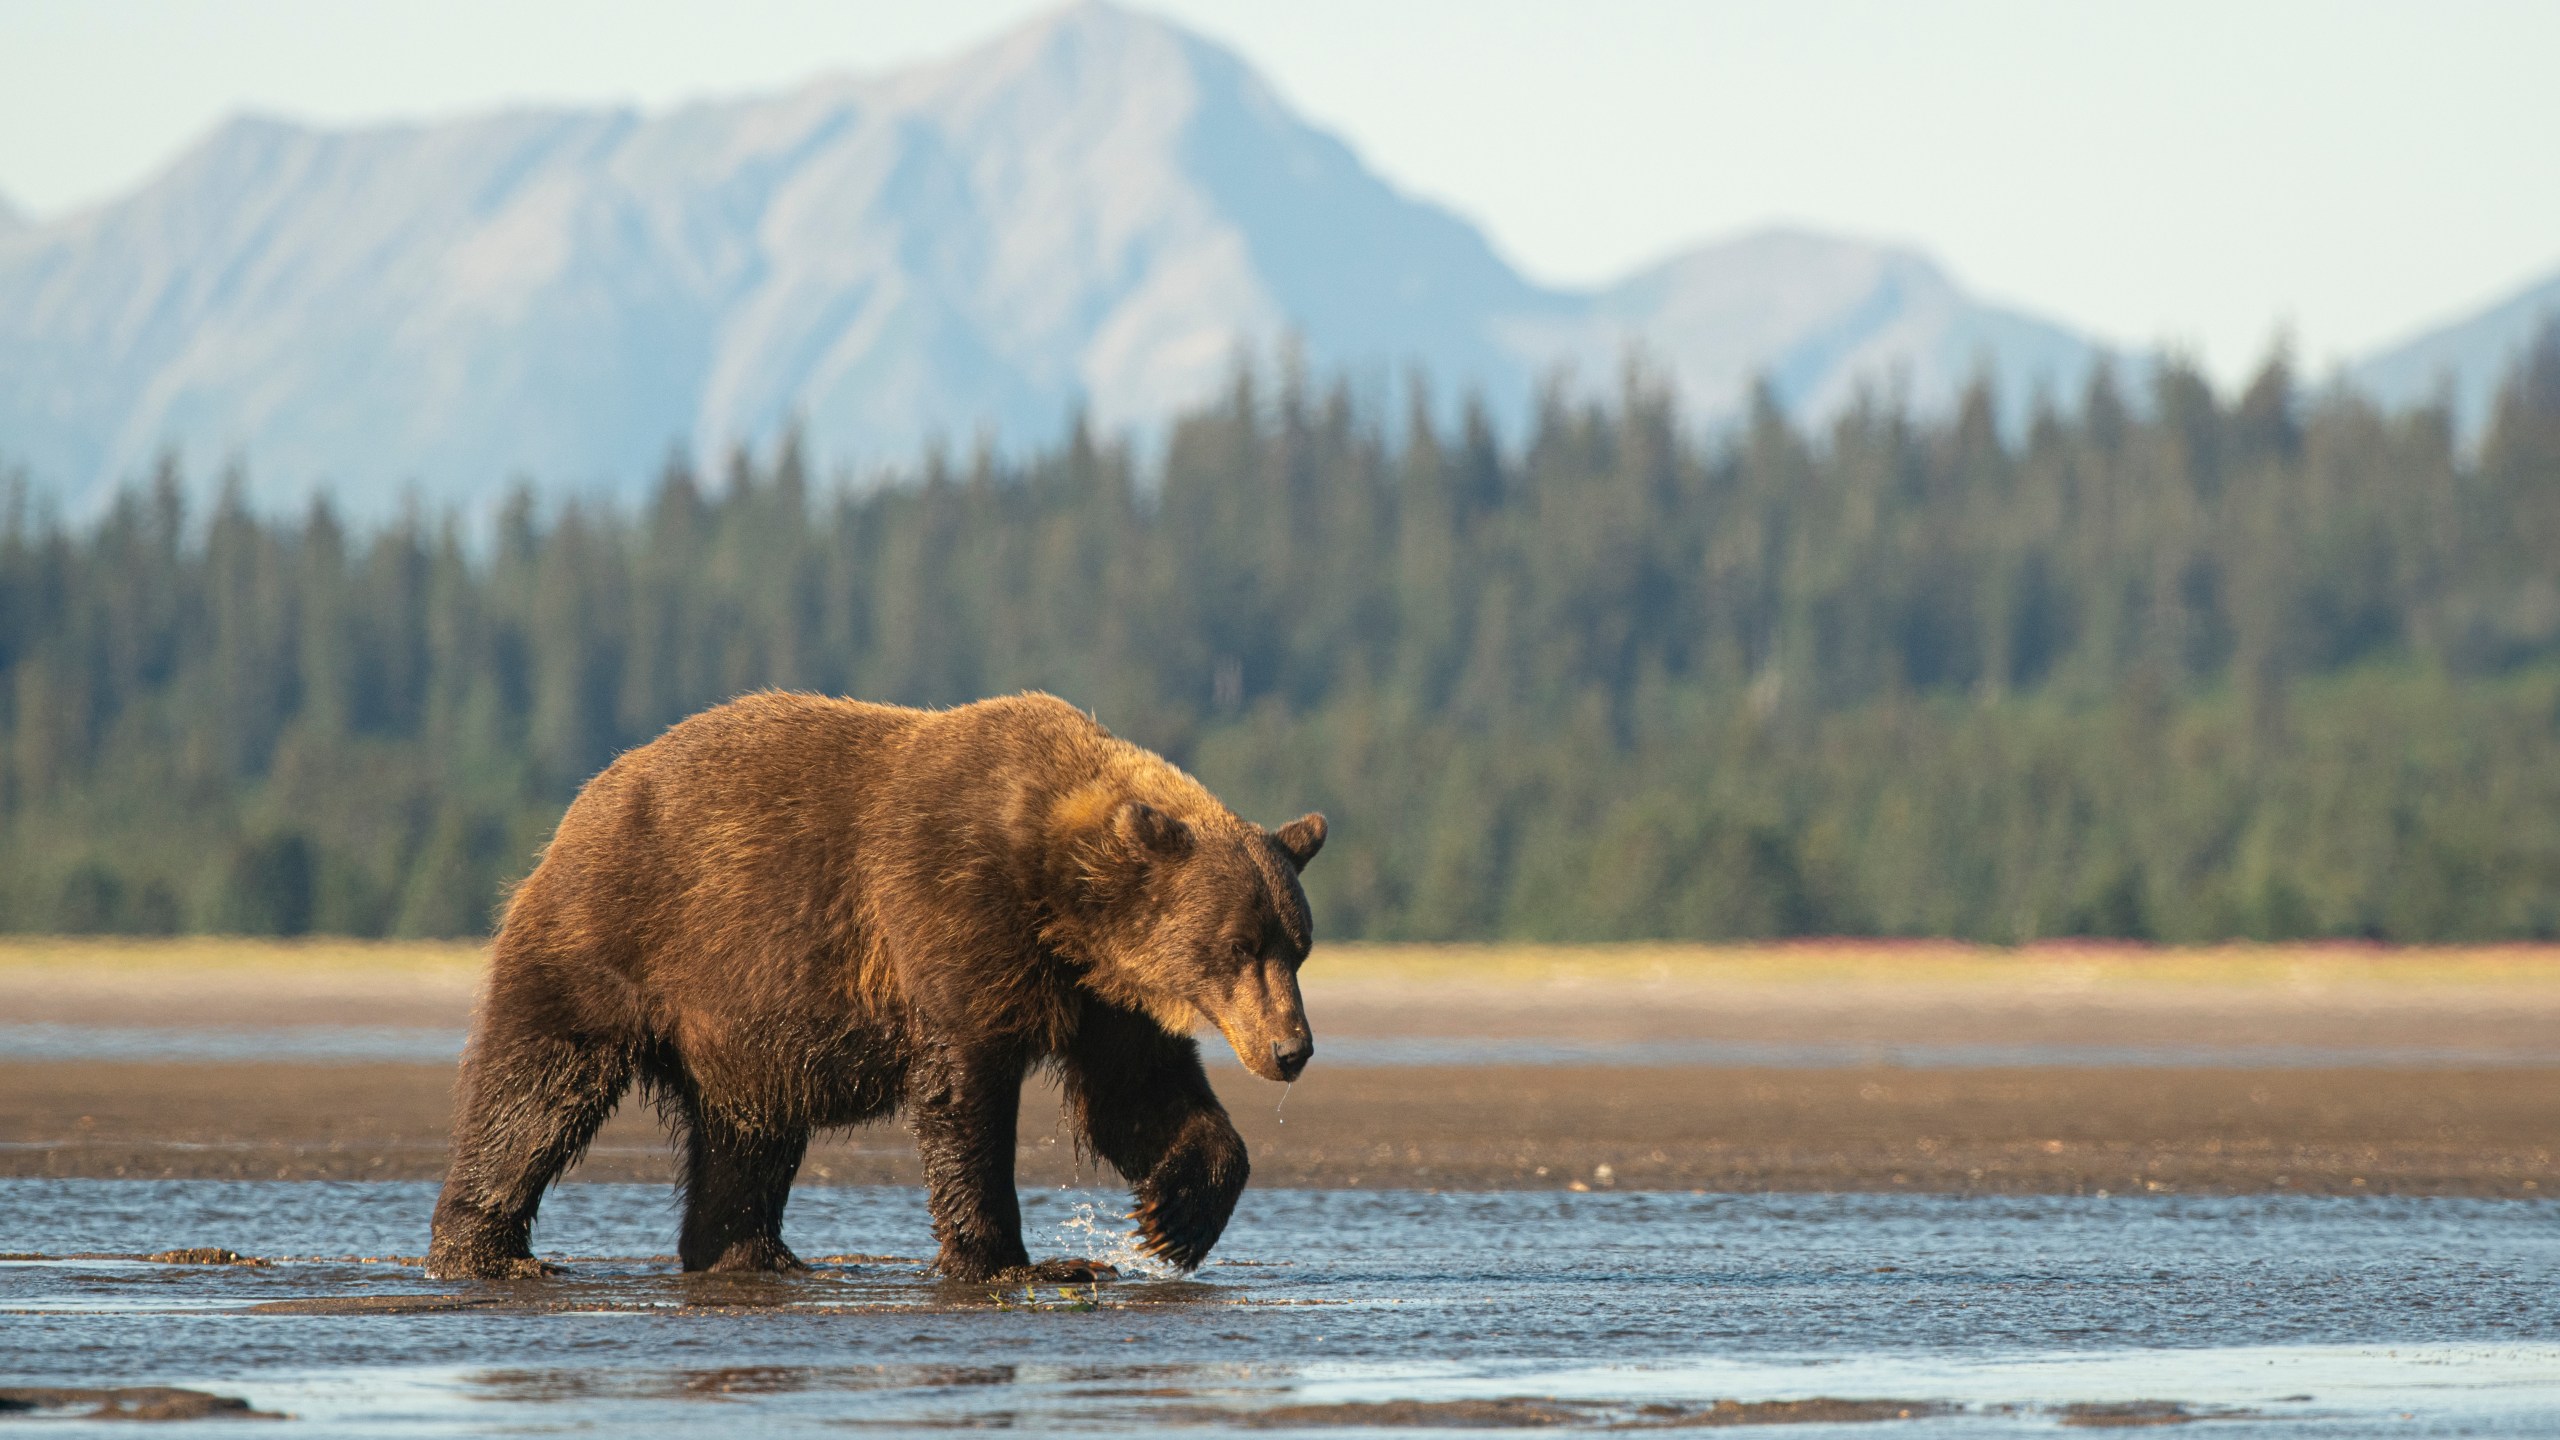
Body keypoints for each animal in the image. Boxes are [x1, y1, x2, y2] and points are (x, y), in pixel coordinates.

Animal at [424, 691, 1320, 1276]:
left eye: (1297, 946)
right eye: (1238, 945)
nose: (1292, 1049)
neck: (1057, 894)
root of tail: (588, 798)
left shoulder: (1099, 993)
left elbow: (1137, 1094)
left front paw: (1172, 1218)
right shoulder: (951, 913)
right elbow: (965, 1096)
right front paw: (1013, 1259)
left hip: (742, 1026)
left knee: (747, 1135)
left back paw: (752, 1252)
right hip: (619, 936)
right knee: (536, 1088)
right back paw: (487, 1252)